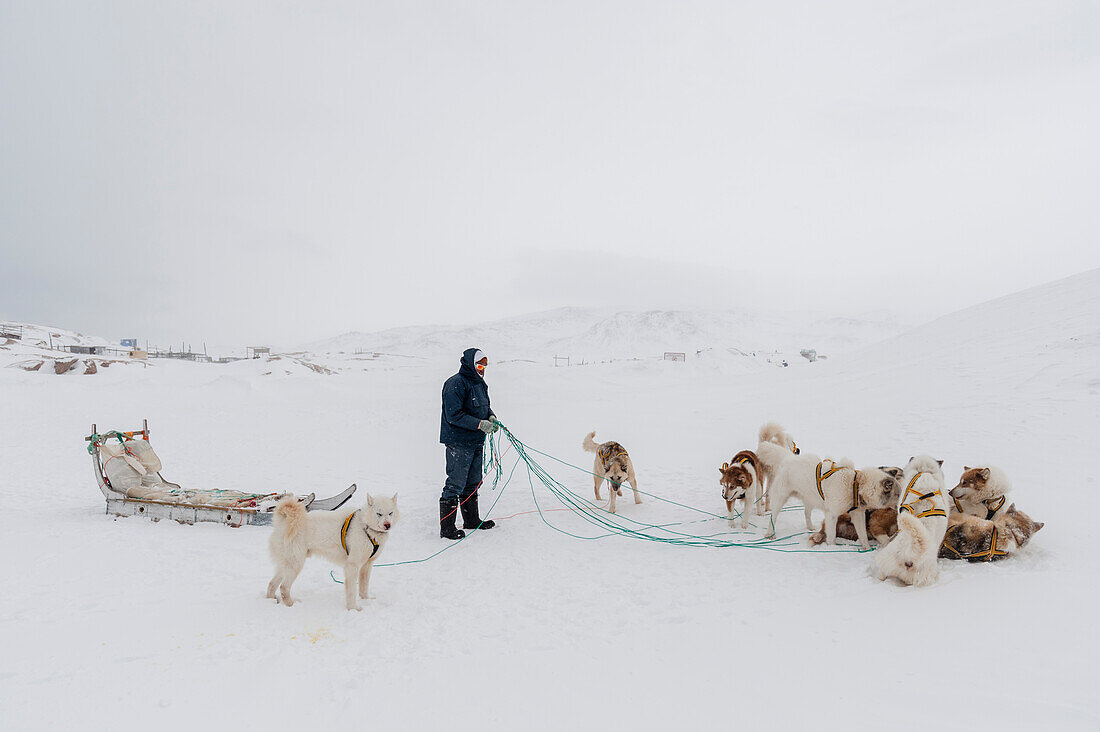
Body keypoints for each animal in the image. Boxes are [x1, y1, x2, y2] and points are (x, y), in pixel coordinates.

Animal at [267, 490, 400, 612]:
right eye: (379, 513)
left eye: (390, 513)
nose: (387, 525)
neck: (365, 526)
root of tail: (283, 522)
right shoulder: (352, 566)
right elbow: (352, 591)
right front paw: (353, 608)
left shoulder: (367, 565)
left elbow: (363, 586)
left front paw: (366, 600)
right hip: (295, 564)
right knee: (284, 587)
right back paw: (291, 604)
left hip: (286, 564)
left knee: (272, 583)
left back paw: (271, 599)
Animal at [765, 451, 902, 548]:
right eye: (898, 494)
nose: (902, 507)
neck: (855, 485)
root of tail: (789, 458)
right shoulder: (831, 515)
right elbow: (831, 536)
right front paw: (832, 548)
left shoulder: (858, 515)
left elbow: (863, 535)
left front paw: (867, 549)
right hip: (780, 498)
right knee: (773, 517)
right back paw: (770, 534)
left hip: (810, 499)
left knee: (806, 513)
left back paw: (810, 527)